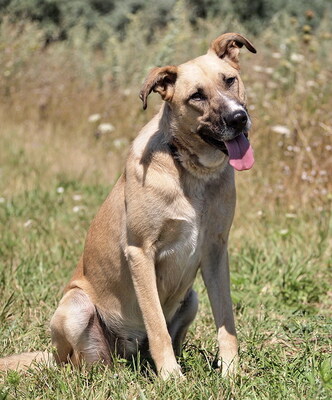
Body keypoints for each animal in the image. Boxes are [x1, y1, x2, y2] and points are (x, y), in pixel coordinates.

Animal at [0, 32, 256, 378]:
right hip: (76, 307)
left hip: (191, 299)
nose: (238, 118)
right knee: (83, 365)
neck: (190, 171)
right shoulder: (140, 253)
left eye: (229, 80)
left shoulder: (216, 251)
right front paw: (172, 378)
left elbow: (226, 321)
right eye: (196, 96)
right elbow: (156, 325)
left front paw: (230, 372)